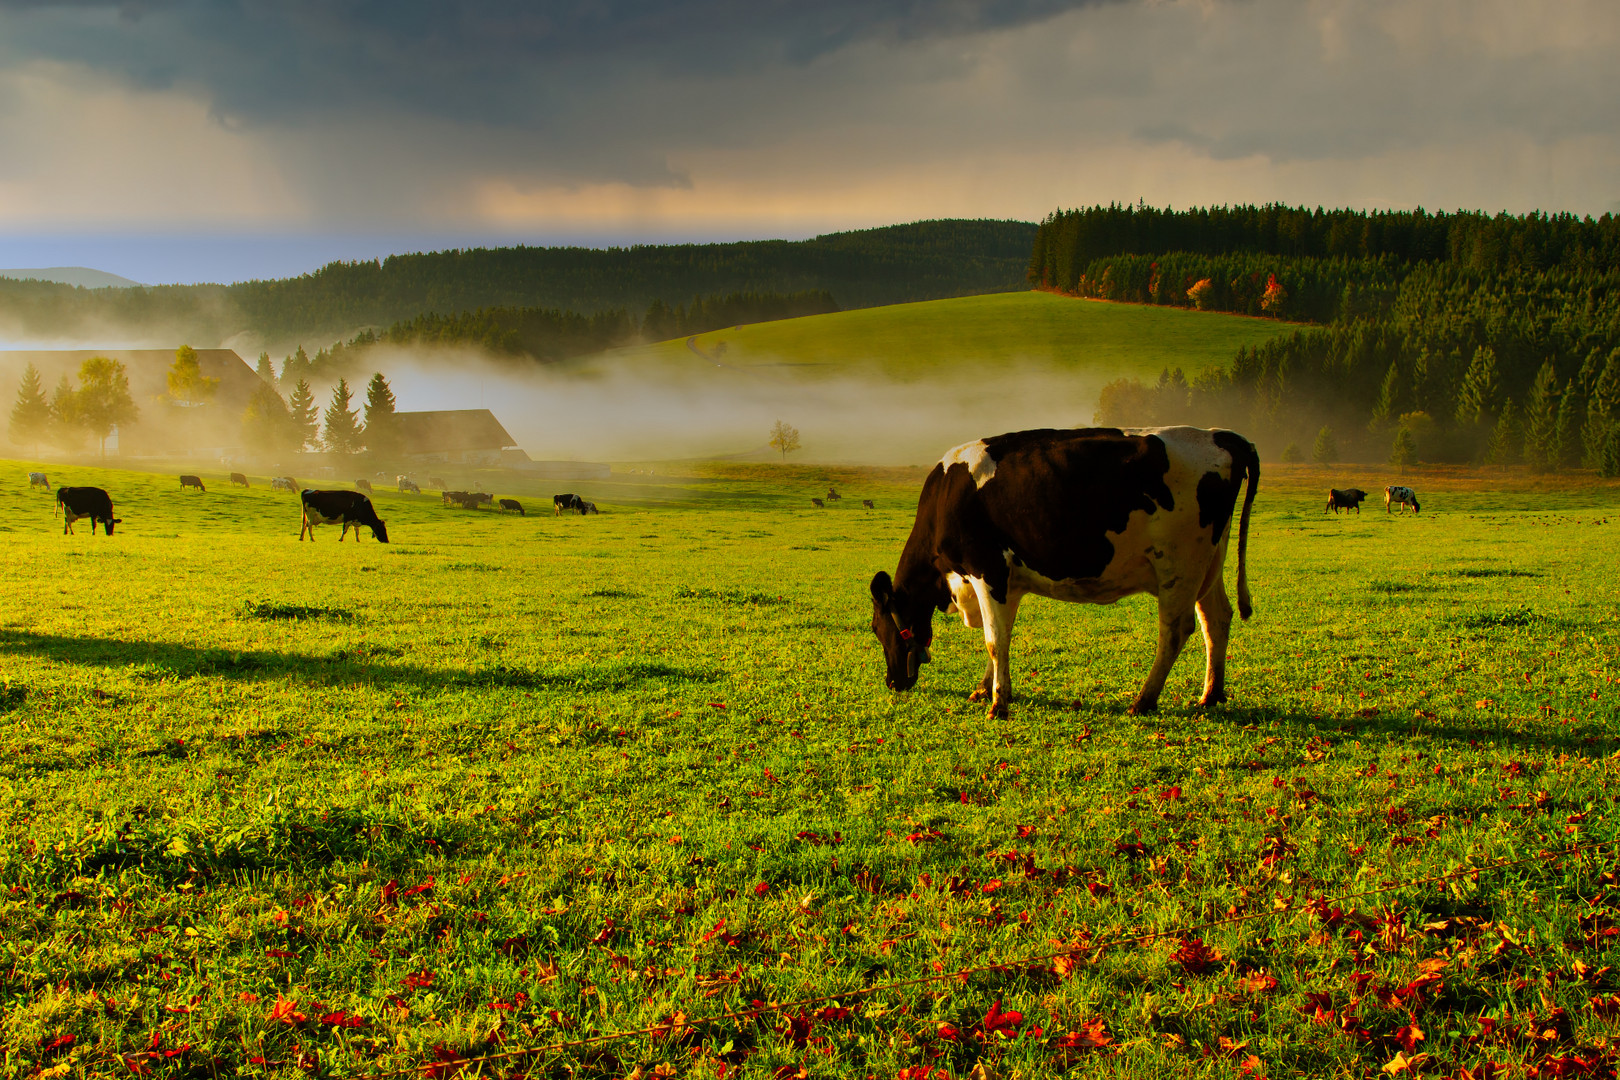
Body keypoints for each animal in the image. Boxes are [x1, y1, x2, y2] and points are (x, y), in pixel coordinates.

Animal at [868, 427, 1257, 718]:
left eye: (875, 627)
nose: (892, 682)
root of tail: (1219, 434)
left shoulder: (987, 570)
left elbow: (994, 640)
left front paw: (998, 704)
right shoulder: (1007, 581)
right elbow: (1002, 637)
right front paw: (985, 689)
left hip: (1179, 563)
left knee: (1175, 630)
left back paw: (1143, 701)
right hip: (1209, 563)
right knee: (1215, 618)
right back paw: (1211, 694)